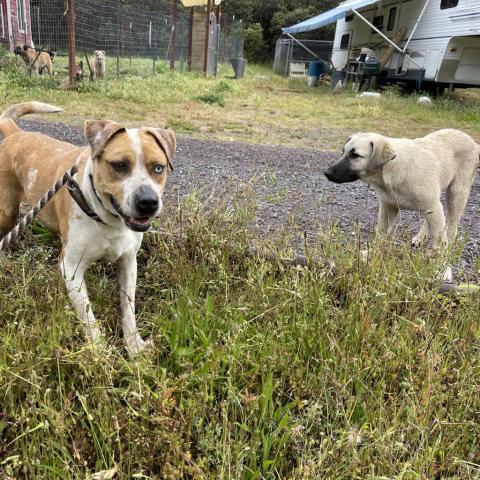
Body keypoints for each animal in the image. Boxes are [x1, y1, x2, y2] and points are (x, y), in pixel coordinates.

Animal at [0, 102, 176, 356]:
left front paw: (134, 346)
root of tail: (17, 133)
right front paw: (99, 353)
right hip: (6, 212)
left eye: (159, 168)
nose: (148, 202)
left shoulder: (128, 263)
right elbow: (88, 317)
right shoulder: (71, 269)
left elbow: (128, 309)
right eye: (119, 165)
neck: (108, 220)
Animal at [324, 129, 478, 246]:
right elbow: (380, 233)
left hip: (457, 194)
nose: (326, 173)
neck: (393, 169)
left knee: (452, 225)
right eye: (343, 152)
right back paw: (420, 238)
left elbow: (440, 240)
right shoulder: (388, 207)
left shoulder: (433, 205)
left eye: (355, 155)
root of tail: (473, 142)